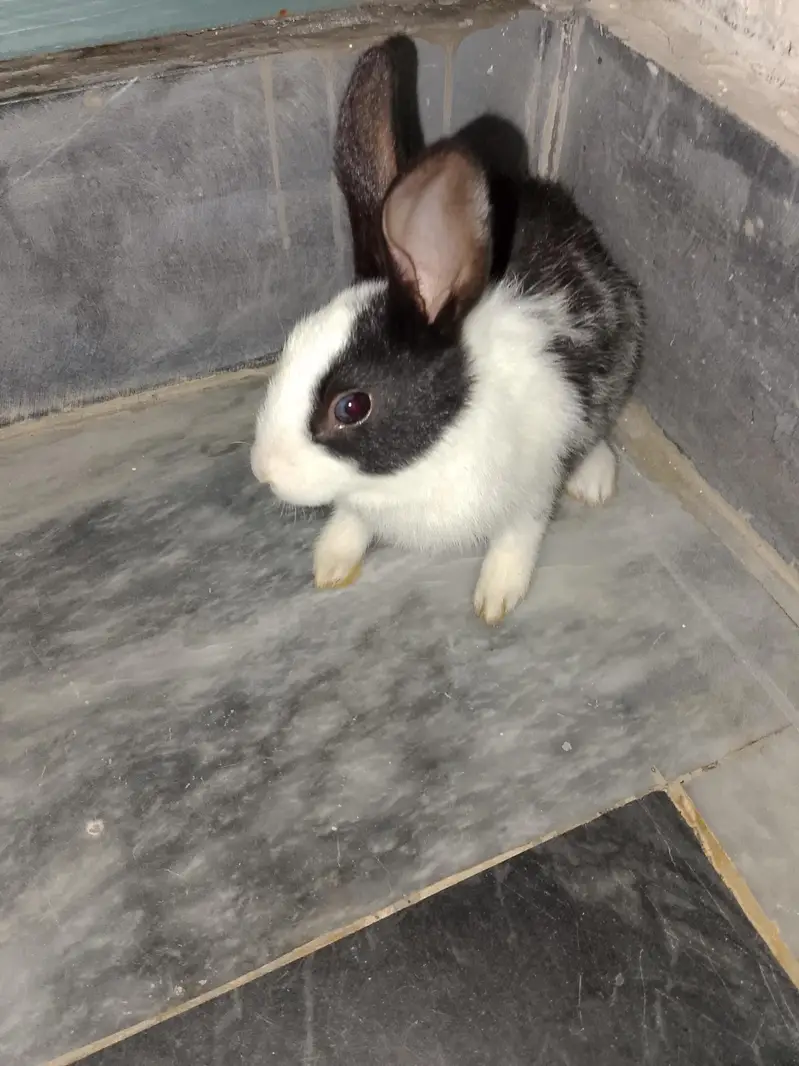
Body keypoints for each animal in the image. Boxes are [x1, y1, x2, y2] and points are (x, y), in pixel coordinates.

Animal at [250, 35, 644, 625]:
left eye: (351, 406)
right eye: (289, 345)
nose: (263, 471)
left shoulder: (532, 487)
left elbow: (518, 538)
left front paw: (496, 598)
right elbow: (351, 521)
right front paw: (331, 562)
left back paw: (594, 480)